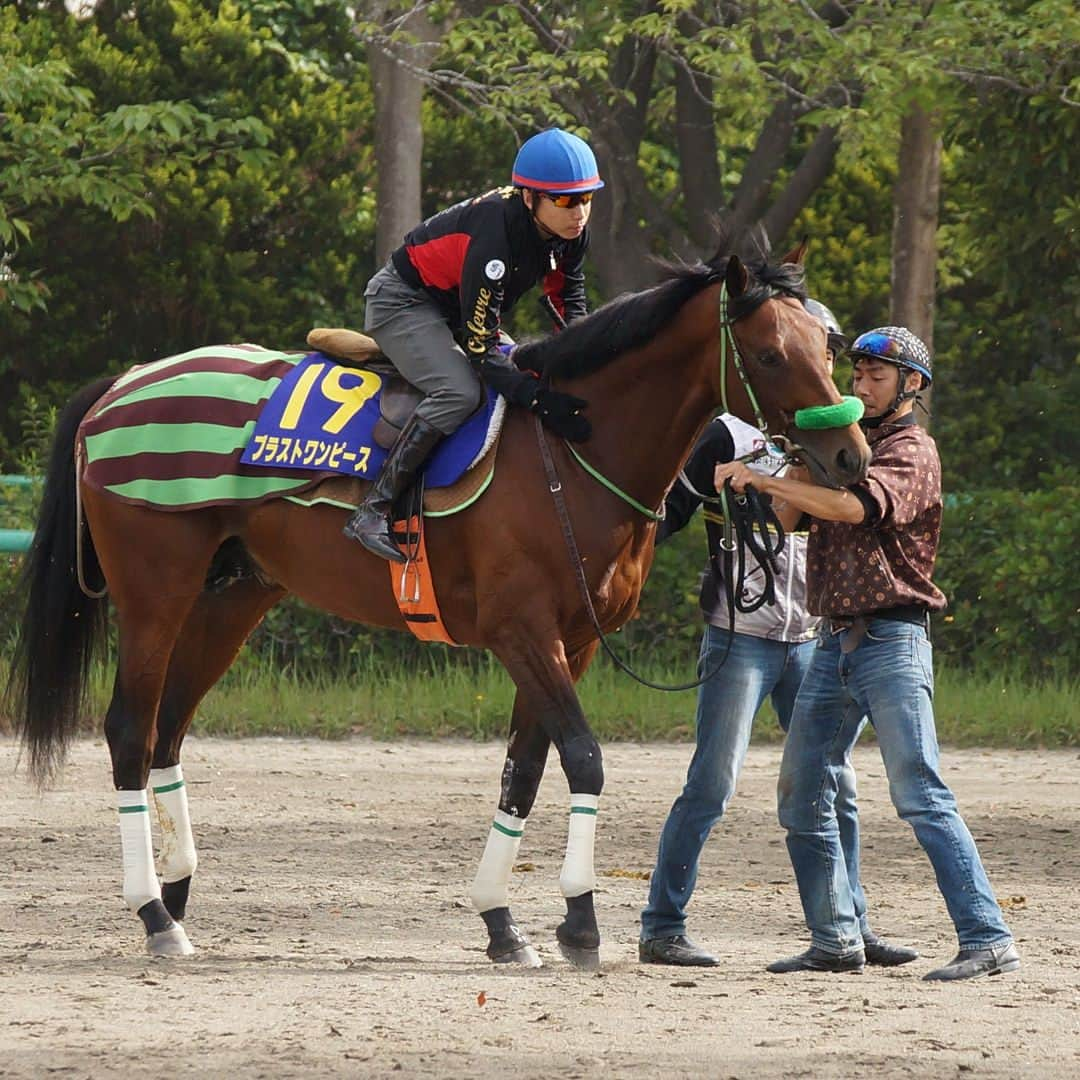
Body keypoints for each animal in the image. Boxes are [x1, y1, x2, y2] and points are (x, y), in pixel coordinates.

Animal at [4, 225, 868, 963]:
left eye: (826, 346)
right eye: (768, 353)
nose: (851, 456)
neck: (570, 450)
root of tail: (124, 383)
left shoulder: (572, 642)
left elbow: (525, 771)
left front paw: (505, 921)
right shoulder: (523, 633)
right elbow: (585, 759)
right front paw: (581, 921)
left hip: (230, 600)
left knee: (167, 734)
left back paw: (179, 896)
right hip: (156, 594)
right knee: (128, 731)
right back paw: (154, 912)